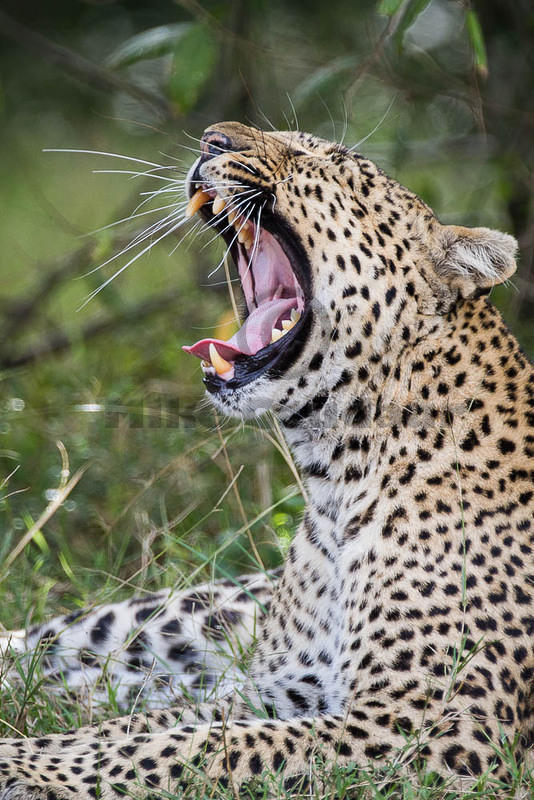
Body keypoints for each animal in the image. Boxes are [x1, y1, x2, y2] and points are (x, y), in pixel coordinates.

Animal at [1, 120, 534, 800]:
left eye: (331, 163)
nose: (212, 139)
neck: (335, 479)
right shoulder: (275, 690)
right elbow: (141, 731)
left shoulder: (433, 726)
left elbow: (186, 747)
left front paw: (22, 768)